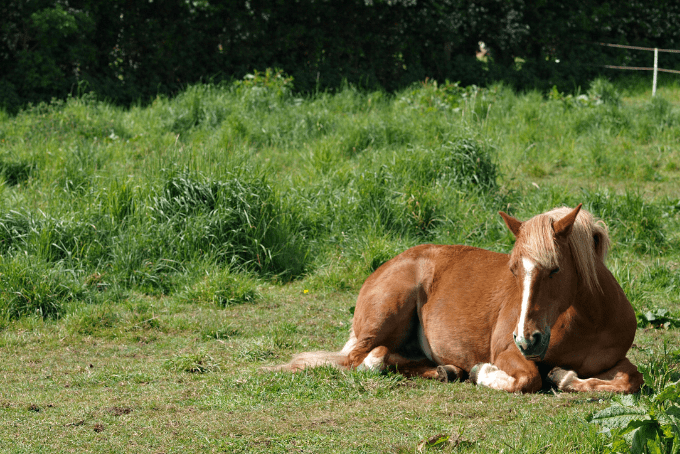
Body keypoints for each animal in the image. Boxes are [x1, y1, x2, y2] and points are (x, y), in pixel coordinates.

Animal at [267, 204, 643, 394]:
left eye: (555, 269)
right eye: (512, 269)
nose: (527, 339)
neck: (587, 323)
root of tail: (386, 265)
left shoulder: (615, 361)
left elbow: (629, 382)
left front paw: (564, 377)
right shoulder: (507, 353)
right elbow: (527, 379)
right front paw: (483, 373)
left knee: (390, 357)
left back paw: (445, 370)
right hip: (387, 314)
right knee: (361, 360)